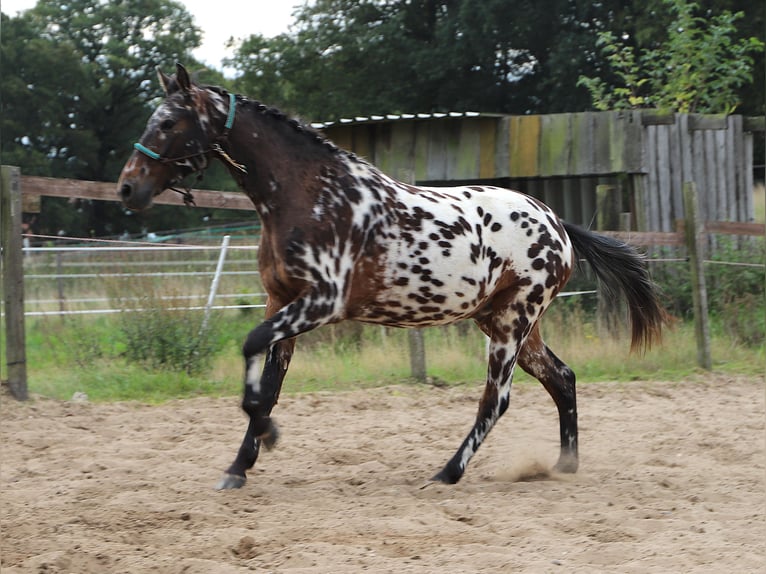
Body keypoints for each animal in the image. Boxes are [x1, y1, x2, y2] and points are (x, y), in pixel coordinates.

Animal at [117, 63, 666, 490]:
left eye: (167, 122)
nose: (127, 188)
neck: (309, 195)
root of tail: (556, 223)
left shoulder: (321, 304)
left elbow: (252, 351)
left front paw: (267, 437)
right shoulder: (281, 301)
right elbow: (267, 385)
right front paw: (239, 466)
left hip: (513, 323)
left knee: (497, 399)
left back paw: (447, 473)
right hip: (503, 321)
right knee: (563, 379)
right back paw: (563, 465)